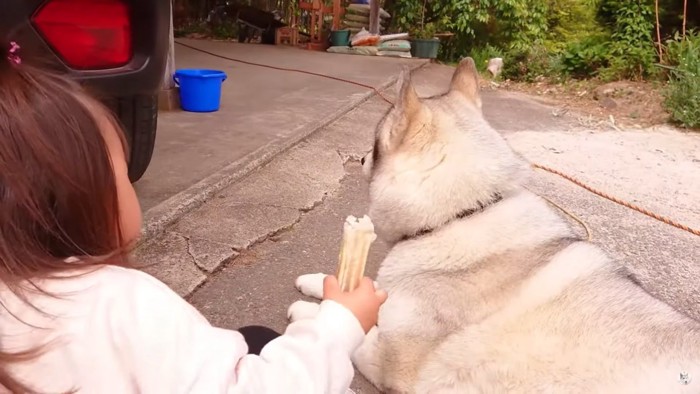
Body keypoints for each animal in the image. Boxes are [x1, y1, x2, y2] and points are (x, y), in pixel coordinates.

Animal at [288, 58, 700, 394]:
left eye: (375, 146)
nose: (359, 159)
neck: (462, 214)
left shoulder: (391, 359)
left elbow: (357, 327)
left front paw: (313, 314)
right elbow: (364, 287)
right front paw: (321, 283)